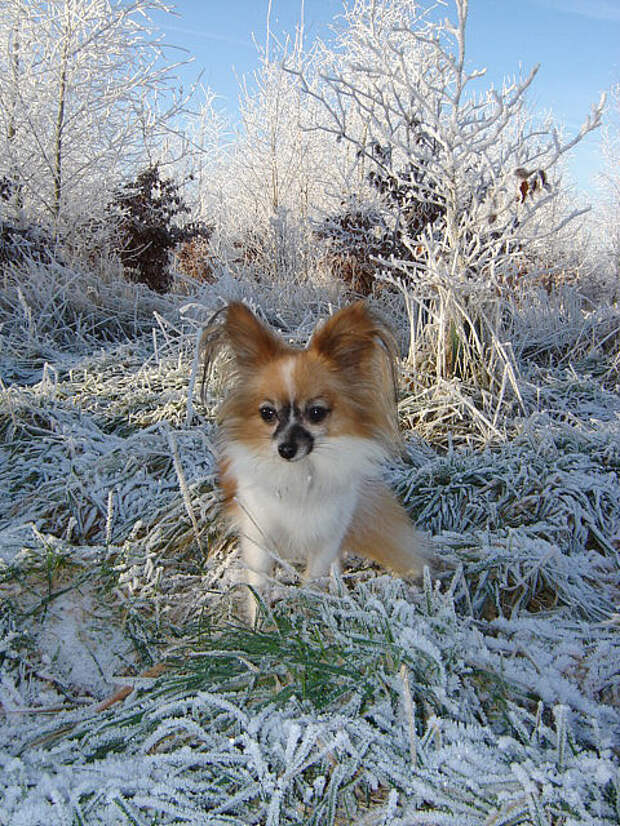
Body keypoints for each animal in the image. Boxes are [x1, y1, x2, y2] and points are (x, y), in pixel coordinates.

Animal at [201, 298, 428, 616]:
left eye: (317, 413)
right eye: (267, 413)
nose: (286, 449)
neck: (303, 473)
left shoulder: (327, 538)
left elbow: (314, 583)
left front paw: (309, 613)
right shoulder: (259, 538)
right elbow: (259, 589)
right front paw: (261, 623)